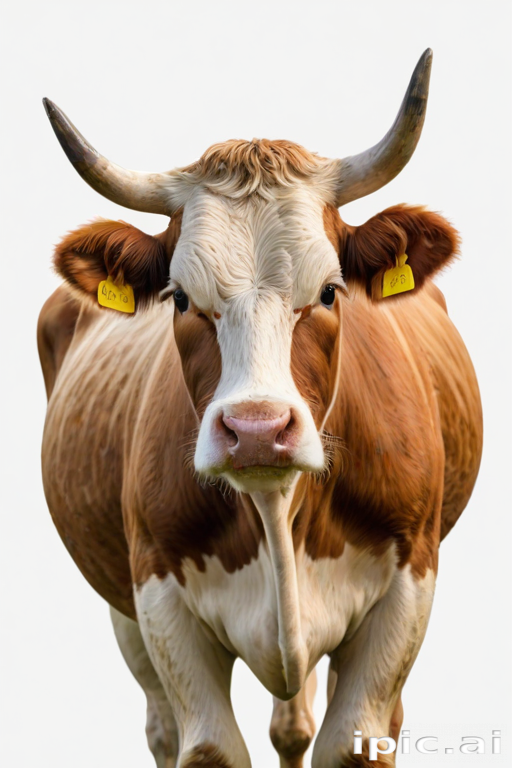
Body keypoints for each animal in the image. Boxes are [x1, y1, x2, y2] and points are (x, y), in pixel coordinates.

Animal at [38, 49, 482, 768]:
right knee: (166, 726)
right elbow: (207, 747)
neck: (276, 512)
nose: (255, 431)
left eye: (330, 291)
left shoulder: (408, 586)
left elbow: (354, 742)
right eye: (180, 298)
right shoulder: (157, 597)